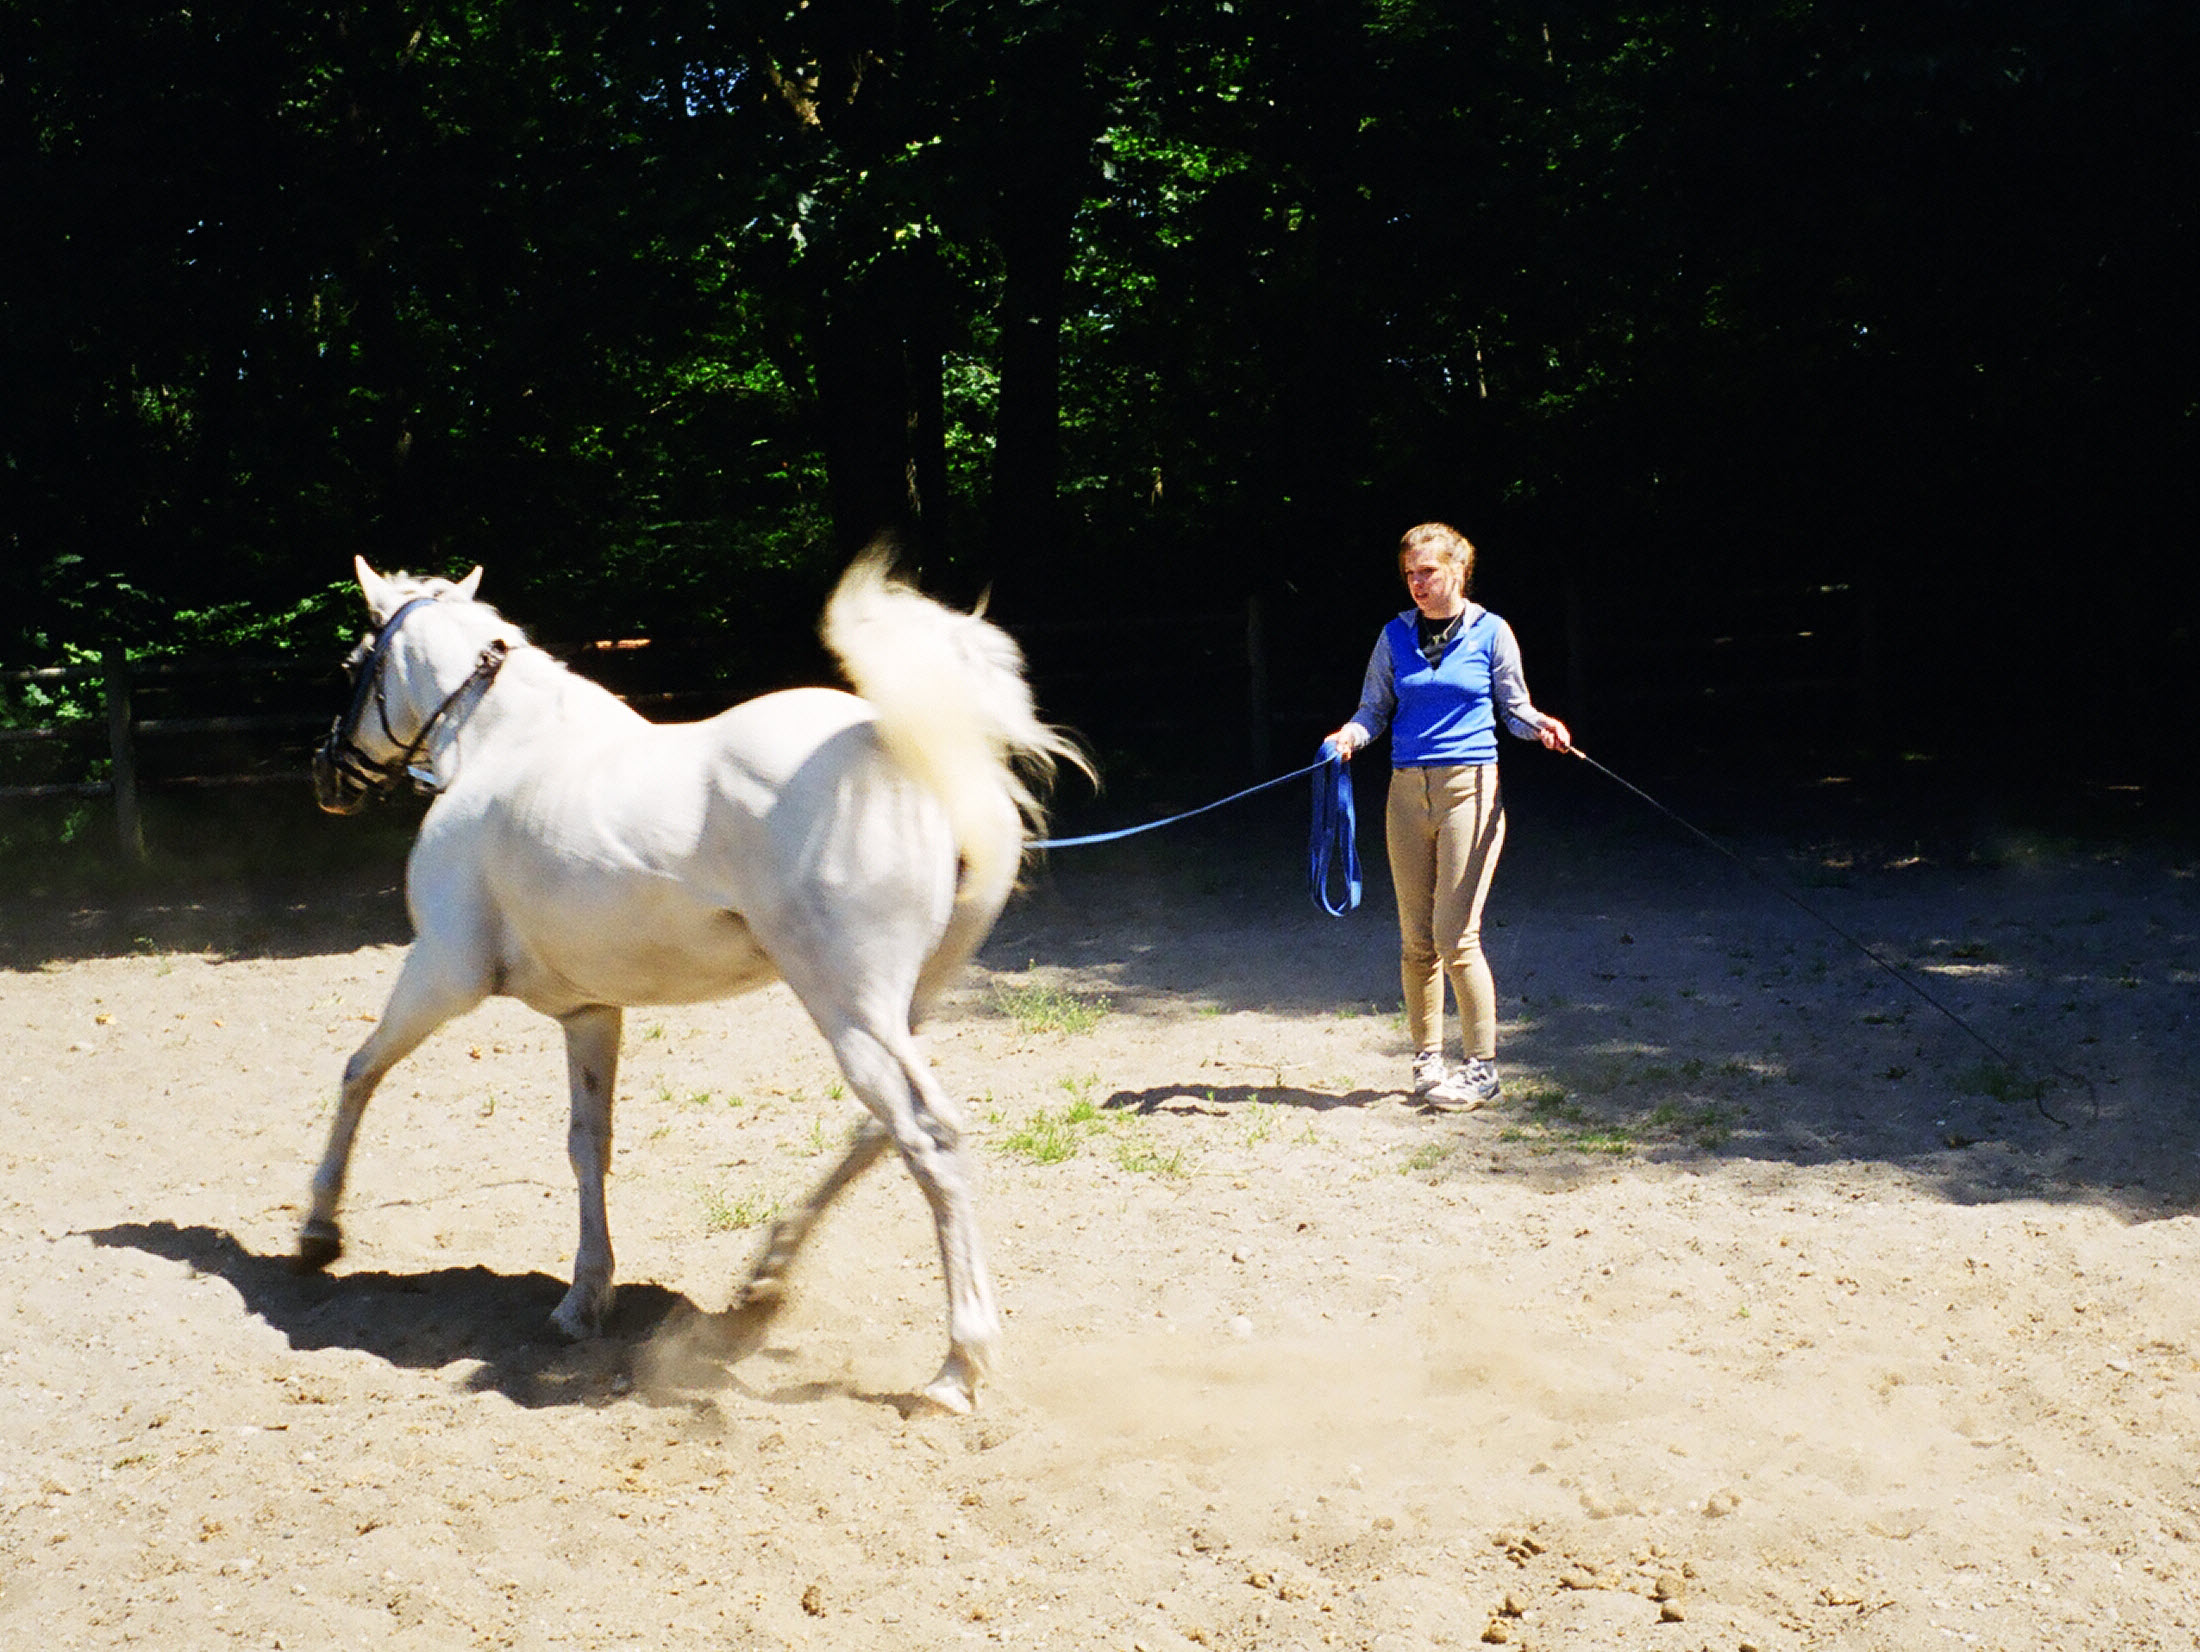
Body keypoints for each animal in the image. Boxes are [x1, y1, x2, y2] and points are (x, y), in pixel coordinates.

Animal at [303, 556, 1082, 1407]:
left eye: (351, 663)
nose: (327, 775)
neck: (504, 747)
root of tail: (914, 764)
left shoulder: (441, 970)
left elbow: (358, 1072)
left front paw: (319, 1232)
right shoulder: (589, 1012)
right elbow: (588, 1144)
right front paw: (584, 1300)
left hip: (850, 1008)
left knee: (929, 1136)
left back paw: (956, 1367)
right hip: (902, 1009)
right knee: (881, 1133)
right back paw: (769, 1271)